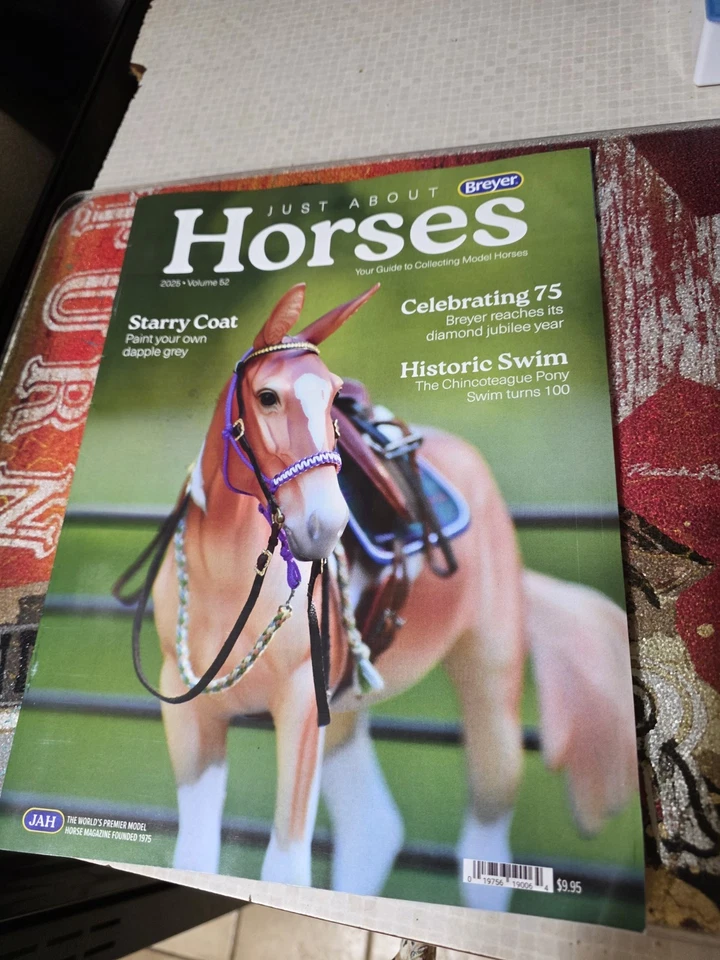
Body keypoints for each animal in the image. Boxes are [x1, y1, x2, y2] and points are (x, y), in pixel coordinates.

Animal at [150, 282, 638, 911]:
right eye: (266, 396)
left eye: (333, 396)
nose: (325, 527)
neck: (227, 577)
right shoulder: (190, 715)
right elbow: (195, 859)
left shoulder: (301, 706)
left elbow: (286, 872)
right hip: (344, 712)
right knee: (373, 831)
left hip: (490, 694)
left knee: (485, 856)